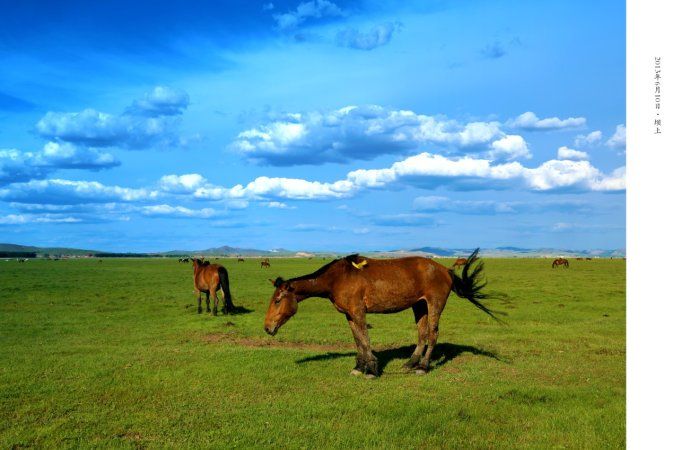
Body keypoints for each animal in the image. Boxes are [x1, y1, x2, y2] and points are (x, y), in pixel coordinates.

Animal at [262, 250, 494, 376]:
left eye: (277, 300)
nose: (267, 327)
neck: (337, 278)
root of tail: (445, 269)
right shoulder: (349, 314)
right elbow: (358, 339)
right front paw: (359, 366)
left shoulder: (358, 312)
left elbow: (365, 338)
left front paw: (371, 369)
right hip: (419, 306)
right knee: (422, 334)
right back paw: (410, 363)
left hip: (434, 304)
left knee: (433, 333)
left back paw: (423, 366)